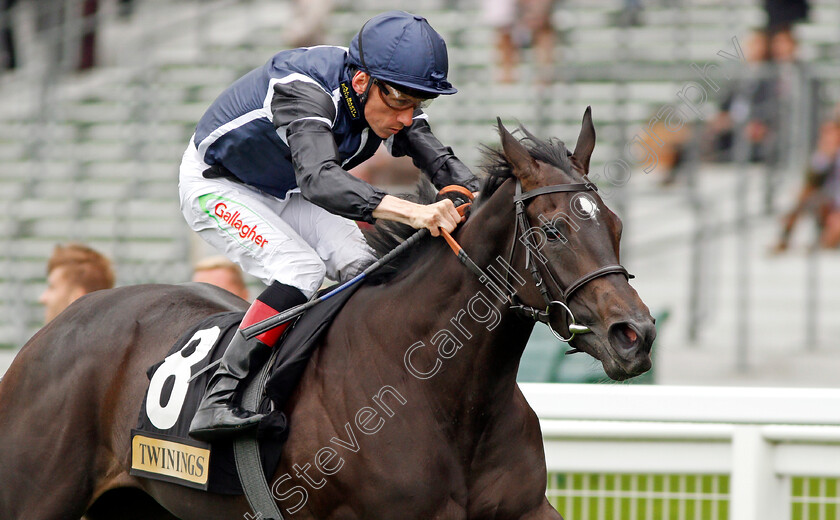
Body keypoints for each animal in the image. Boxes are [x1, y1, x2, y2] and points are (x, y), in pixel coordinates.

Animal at [0, 108, 656, 516]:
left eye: (615, 225)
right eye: (553, 231)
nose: (636, 334)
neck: (444, 394)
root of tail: (59, 324)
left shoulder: (524, 508)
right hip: (37, 492)